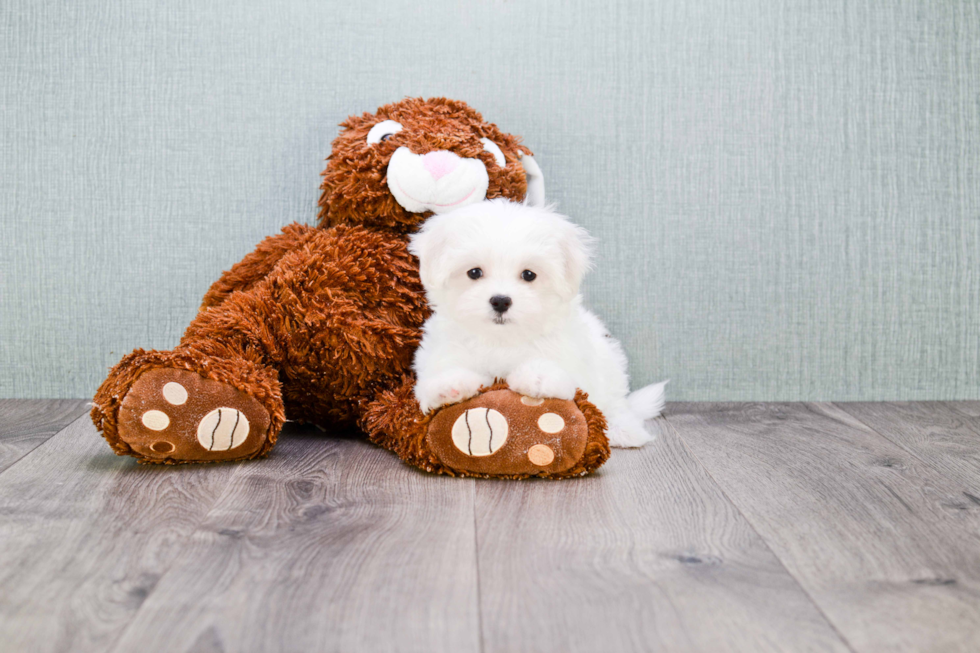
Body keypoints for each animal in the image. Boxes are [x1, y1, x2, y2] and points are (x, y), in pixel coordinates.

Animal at [406, 197, 668, 448]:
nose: (500, 301)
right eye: (474, 272)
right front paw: (448, 384)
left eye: (529, 275)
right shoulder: (445, 346)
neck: (502, 339)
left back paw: (624, 431)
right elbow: (445, 366)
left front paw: (538, 376)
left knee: (615, 403)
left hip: (610, 366)